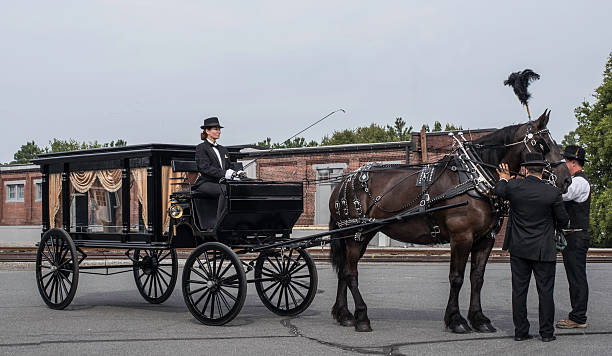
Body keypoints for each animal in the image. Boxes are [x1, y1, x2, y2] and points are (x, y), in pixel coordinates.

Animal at [328, 111, 572, 334]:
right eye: (542, 144)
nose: (566, 179)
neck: (474, 178)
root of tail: (342, 183)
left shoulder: (486, 239)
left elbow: (477, 278)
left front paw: (479, 319)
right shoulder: (461, 237)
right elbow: (457, 278)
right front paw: (456, 320)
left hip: (358, 234)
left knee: (343, 271)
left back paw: (344, 315)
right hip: (357, 234)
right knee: (350, 273)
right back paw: (361, 316)